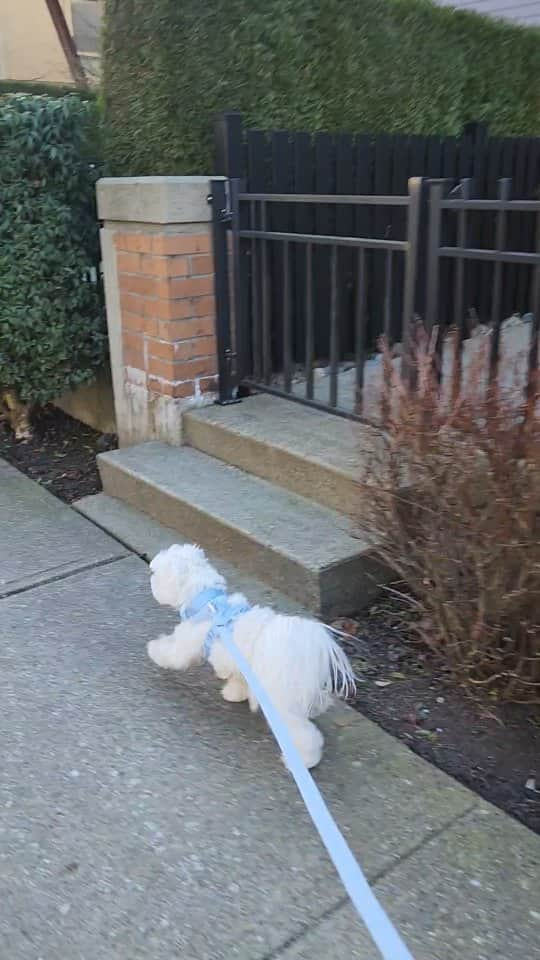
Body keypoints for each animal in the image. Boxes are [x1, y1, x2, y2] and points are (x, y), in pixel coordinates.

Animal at [148, 544, 356, 768]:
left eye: (156, 573)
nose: (150, 577)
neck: (209, 602)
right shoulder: (240, 665)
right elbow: (238, 680)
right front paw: (234, 693)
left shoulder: (187, 643)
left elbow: (172, 653)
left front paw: (154, 650)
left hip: (280, 701)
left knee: (303, 734)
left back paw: (304, 760)